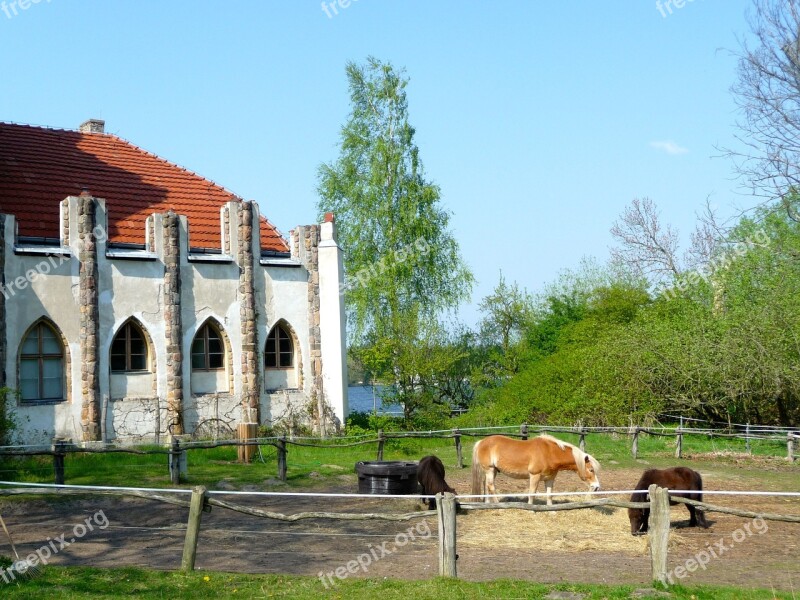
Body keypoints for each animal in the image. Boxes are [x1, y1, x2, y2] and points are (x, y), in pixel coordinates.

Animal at [468, 434, 600, 504]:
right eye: (591, 470)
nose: (597, 487)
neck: (549, 453)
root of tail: (481, 442)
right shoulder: (534, 476)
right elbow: (532, 494)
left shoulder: (550, 479)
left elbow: (549, 495)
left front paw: (551, 511)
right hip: (489, 469)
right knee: (491, 486)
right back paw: (499, 505)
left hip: (493, 470)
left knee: (486, 485)